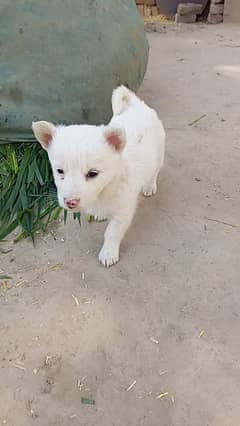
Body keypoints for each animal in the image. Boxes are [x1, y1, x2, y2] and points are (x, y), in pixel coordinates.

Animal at [32, 86, 165, 266]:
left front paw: (108, 253)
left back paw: (149, 186)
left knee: (154, 171)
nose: (70, 202)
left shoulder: (123, 211)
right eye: (59, 171)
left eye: (93, 173)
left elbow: (112, 233)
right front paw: (100, 214)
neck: (106, 187)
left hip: (158, 154)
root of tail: (136, 104)